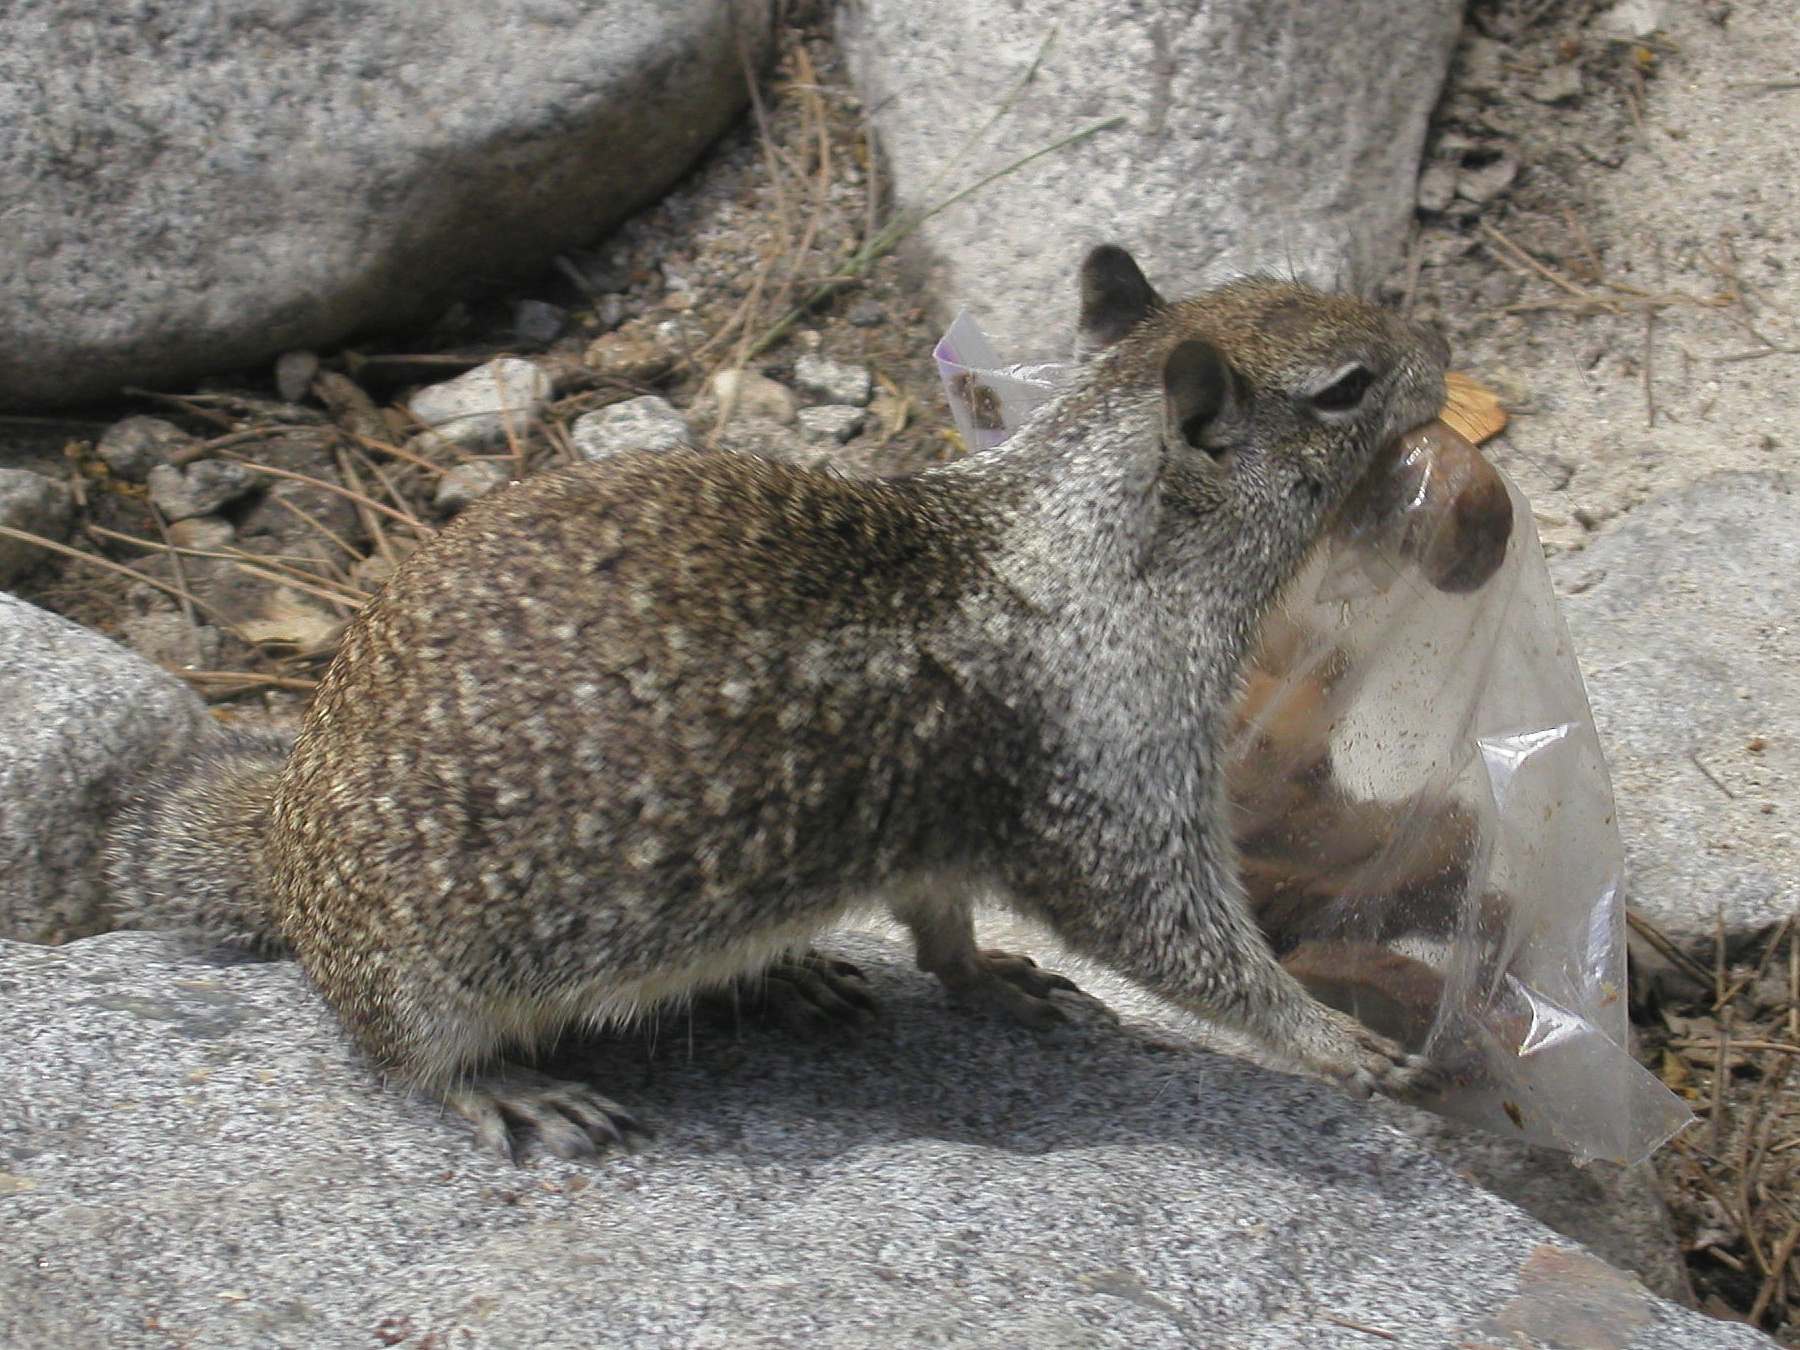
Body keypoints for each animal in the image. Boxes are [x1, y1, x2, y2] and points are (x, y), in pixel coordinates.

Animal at [107, 245, 1450, 1161]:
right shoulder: (1107, 773)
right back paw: (518, 1089)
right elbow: (1171, 938)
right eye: (1347, 386)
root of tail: (284, 851)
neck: (1093, 544)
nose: (1440, 355)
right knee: (403, 1054)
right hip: (421, 976)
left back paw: (788, 977)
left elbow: (942, 922)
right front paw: (1338, 1043)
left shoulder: (943, 830)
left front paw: (988, 977)